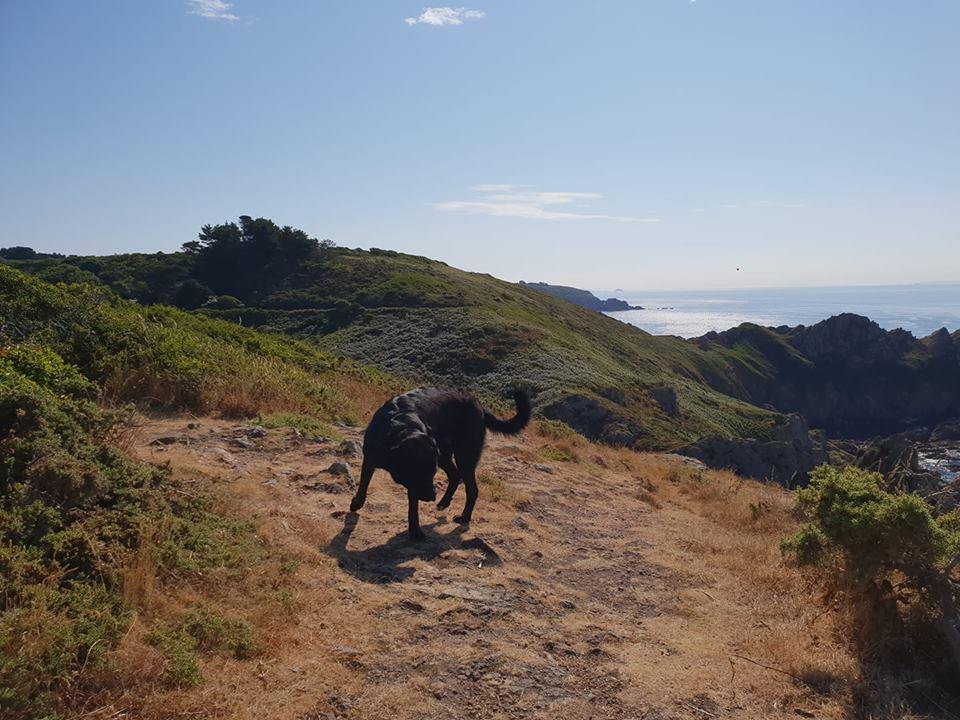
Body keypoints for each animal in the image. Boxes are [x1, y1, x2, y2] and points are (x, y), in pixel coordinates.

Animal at [350, 388, 532, 540]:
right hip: (444, 454)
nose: (432, 496)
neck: (400, 428)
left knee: (471, 488)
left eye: (431, 474)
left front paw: (415, 531)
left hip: (464, 456)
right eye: (419, 474)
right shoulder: (372, 458)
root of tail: (479, 405)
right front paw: (357, 502)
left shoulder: (416, 484)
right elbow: (364, 482)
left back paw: (464, 516)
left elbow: (413, 506)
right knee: (455, 475)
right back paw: (444, 502)